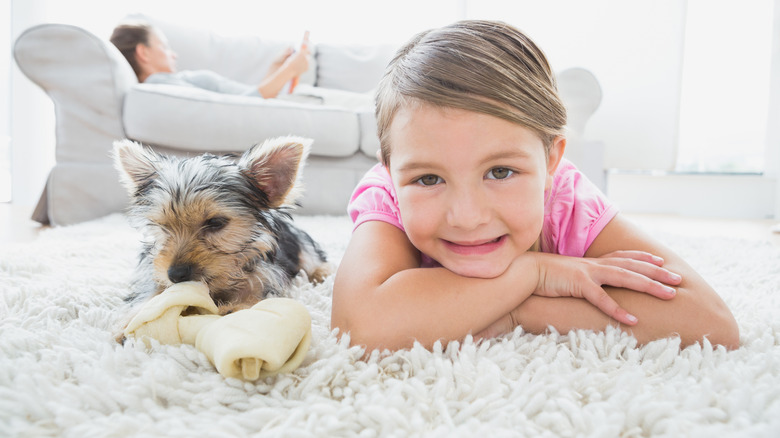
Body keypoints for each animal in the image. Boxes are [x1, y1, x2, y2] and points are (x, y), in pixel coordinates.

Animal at [112, 137, 330, 338]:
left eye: (216, 223)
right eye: (163, 226)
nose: (175, 274)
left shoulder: (266, 275)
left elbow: (256, 293)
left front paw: (236, 308)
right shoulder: (153, 270)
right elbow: (149, 291)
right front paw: (131, 320)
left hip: (300, 243)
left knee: (312, 258)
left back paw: (322, 273)